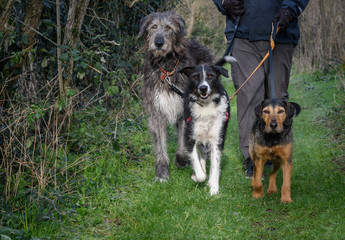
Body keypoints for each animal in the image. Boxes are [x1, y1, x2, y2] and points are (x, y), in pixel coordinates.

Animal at [137, 10, 212, 180]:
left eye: (169, 28)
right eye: (153, 27)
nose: (158, 43)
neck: (167, 68)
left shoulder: (186, 110)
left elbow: (183, 144)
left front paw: (182, 160)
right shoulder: (156, 109)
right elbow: (160, 145)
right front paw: (162, 173)